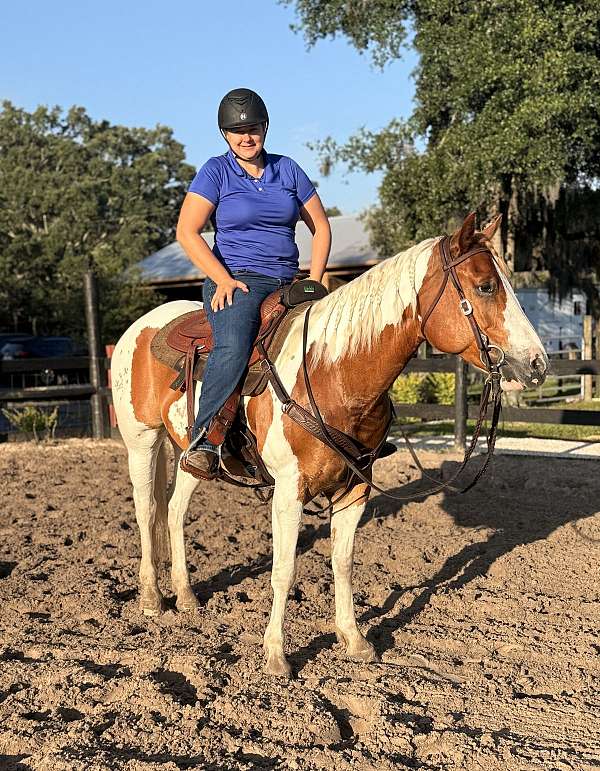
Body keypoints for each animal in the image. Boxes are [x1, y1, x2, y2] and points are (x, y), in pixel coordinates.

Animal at [111, 212, 548, 677]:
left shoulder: (355, 487)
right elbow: (284, 570)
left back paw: (187, 595)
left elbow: (343, 561)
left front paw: (354, 639)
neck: (333, 372)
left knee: (175, 510)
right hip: (142, 443)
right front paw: (276, 654)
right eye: (485, 286)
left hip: (192, 455)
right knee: (148, 511)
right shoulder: (289, 491)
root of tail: (140, 327)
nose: (538, 363)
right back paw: (152, 598)